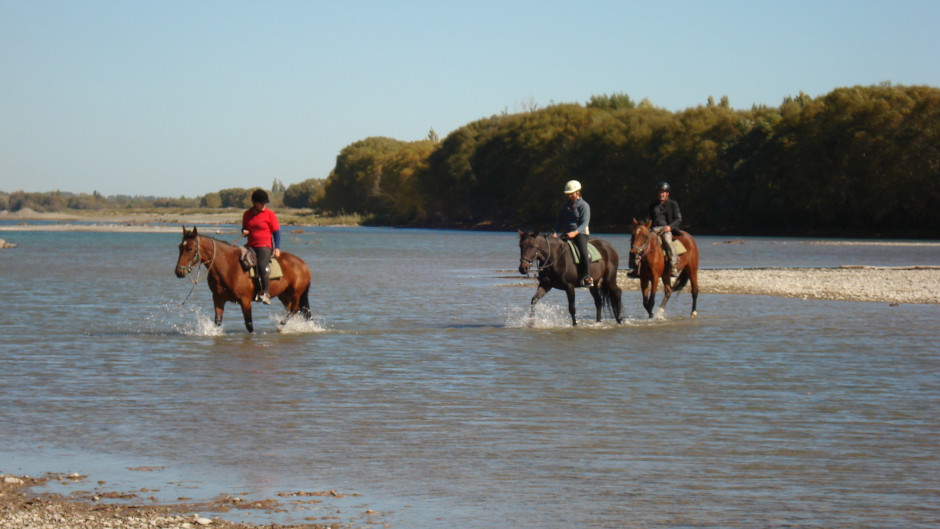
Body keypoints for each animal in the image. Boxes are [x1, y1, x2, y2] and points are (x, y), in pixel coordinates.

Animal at [173, 226, 312, 332]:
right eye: (180, 247)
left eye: (190, 248)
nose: (179, 272)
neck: (229, 266)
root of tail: (302, 264)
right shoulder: (218, 299)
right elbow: (217, 321)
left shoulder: (245, 301)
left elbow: (249, 325)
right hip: (284, 294)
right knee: (292, 310)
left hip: (296, 293)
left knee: (294, 309)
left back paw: (282, 324)